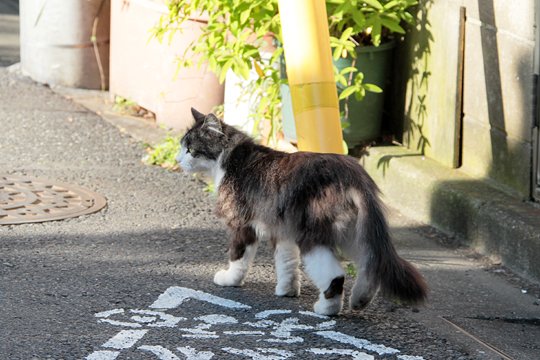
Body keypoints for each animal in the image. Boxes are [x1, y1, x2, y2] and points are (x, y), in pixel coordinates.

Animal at [177, 107, 426, 316]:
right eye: (182, 147)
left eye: (190, 149)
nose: (178, 160)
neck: (229, 159)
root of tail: (353, 173)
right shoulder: (283, 230)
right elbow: (287, 263)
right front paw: (286, 290)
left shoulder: (242, 224)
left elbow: (238, 257)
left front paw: (230, 279)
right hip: (354, 232)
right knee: (370, 264)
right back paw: (359, 300)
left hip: (314, 236)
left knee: (337, 275)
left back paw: (327, 309)